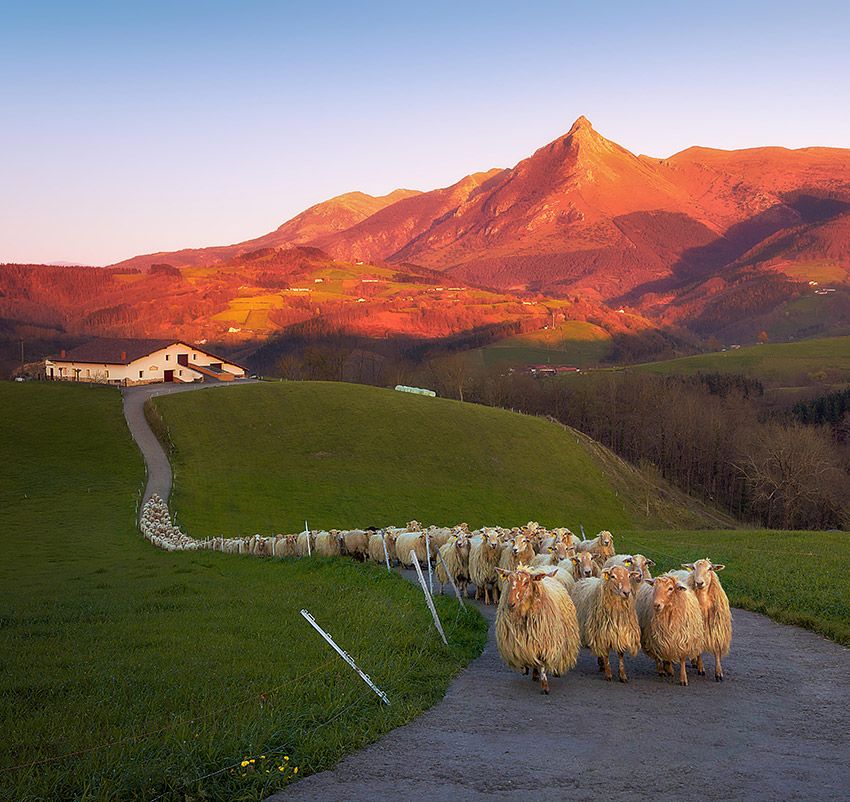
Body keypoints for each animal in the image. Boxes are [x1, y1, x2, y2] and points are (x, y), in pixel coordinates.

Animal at [494, 564, 580, 692]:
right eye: (509, 580)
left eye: (526, 582)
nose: (511, 604)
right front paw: (526, 670)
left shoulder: (545, 642)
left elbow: (543, 664)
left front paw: (545, 685)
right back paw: (534, 674)